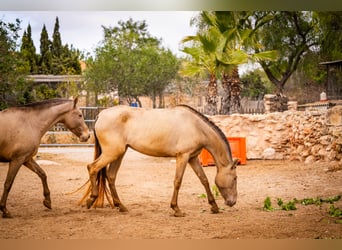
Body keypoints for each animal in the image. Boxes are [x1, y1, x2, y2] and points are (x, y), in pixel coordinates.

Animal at [82, 104, 238, 216]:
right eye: (235, 178)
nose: (232, 202)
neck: (196, 126)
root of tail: (101, 114)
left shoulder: (192, 158)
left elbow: (204, 179)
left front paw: (214, 207)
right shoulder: (183, 156)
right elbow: (177, 181)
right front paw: (176, 209)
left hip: (119, 154)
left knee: (111, 176)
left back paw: (121, 206)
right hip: (112, 153)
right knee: (92, 168)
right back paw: (91, 199)